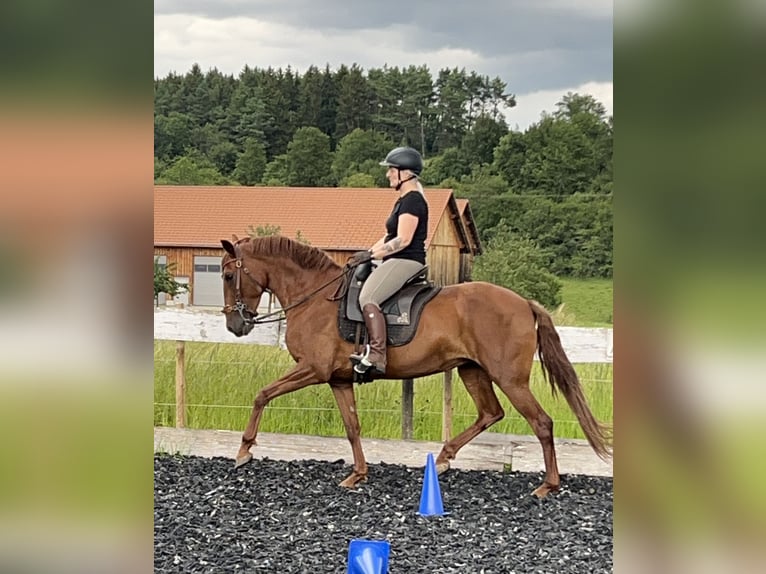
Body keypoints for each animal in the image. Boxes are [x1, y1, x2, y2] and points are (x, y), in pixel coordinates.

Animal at [220, 235, 612, 500]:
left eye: (225, 276)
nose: (235, 326)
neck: (315, 297)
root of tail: (524, 303)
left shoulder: (312, 369)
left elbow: (262, 395)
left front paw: (243, 451)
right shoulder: (337, 379)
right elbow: (352, 427)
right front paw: (358, 474)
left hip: (509, 378)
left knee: (541, 422)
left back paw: (548, 484)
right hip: (472, 370)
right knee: (490, 413)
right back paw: (443, 458)